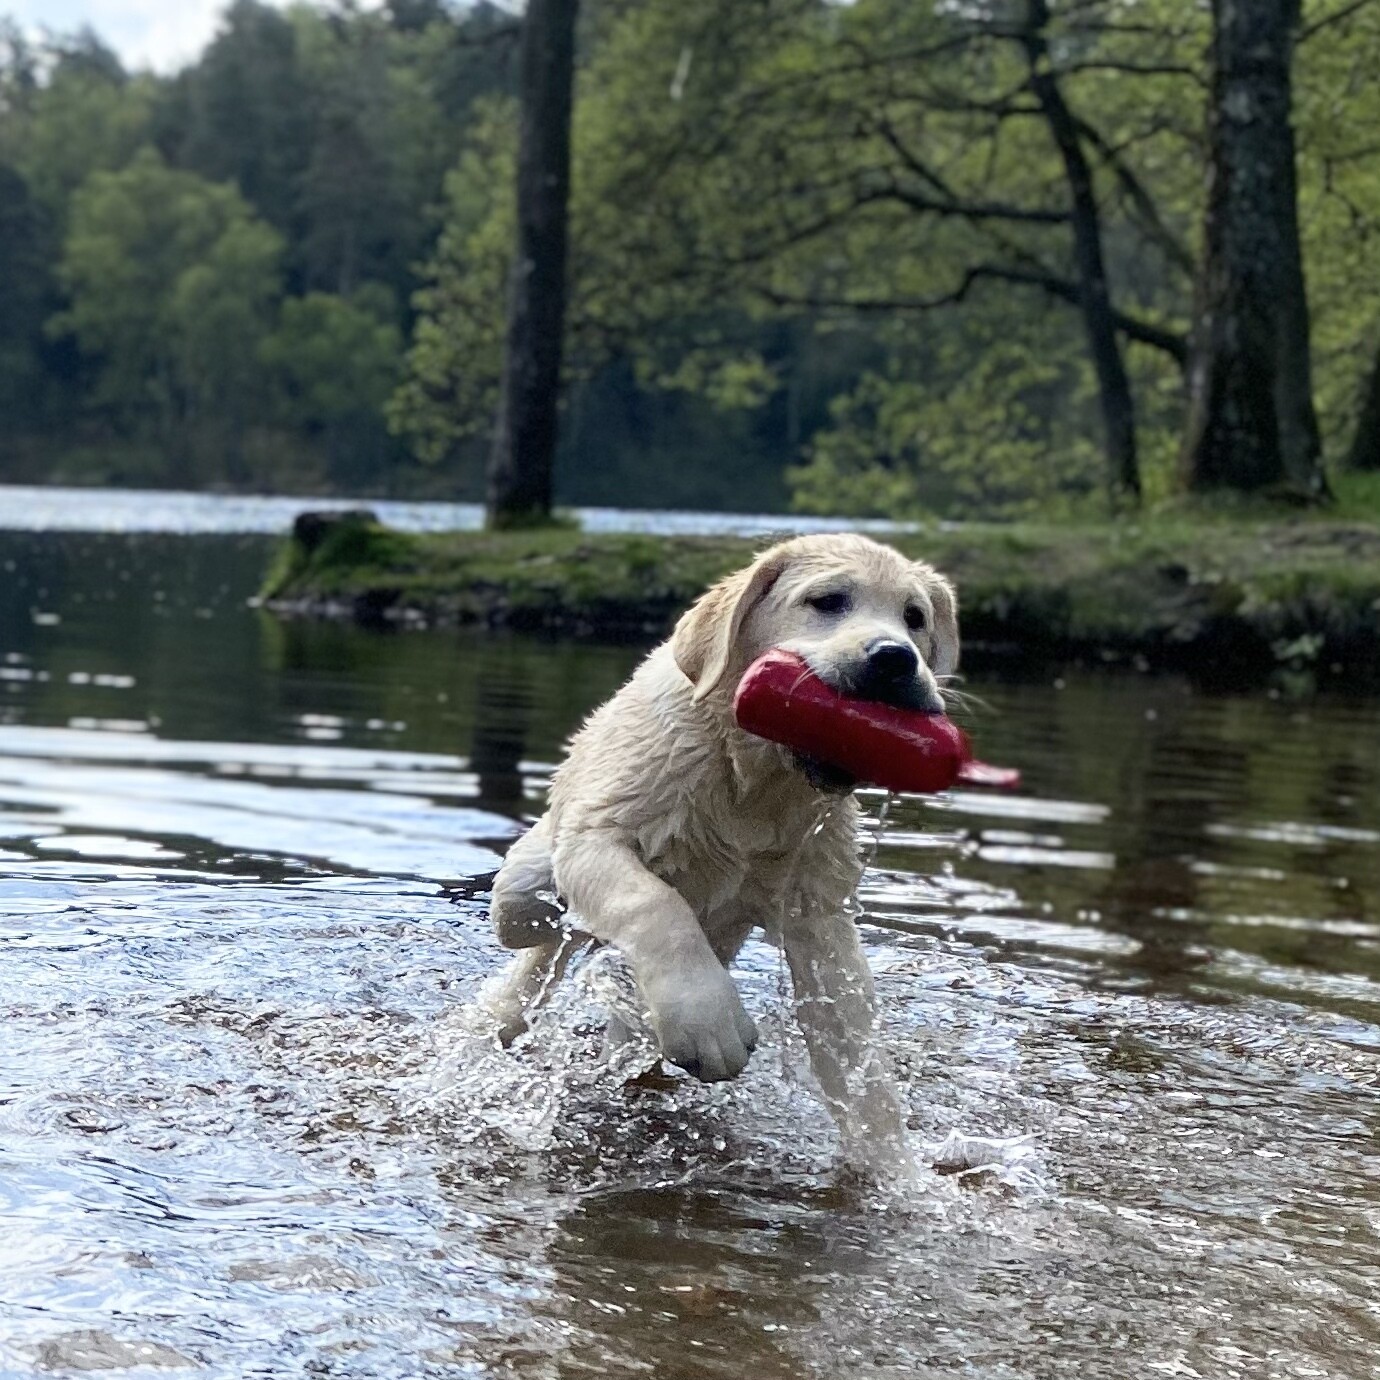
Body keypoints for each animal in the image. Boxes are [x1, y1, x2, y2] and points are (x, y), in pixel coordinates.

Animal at [483, 532, 960, 1170]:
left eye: (915, 618)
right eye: (827, 601)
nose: (895, 658)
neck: (754, 781)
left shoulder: (818, 915)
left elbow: (854, 1046)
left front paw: (896, 1169)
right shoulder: (597, 836)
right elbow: (653, 905)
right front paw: (707, 1021)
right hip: (531, 876)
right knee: (529, 931)